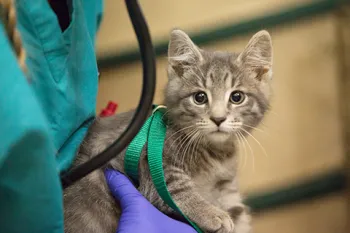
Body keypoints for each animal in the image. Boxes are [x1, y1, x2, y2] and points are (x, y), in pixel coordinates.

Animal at [63, 29, 274, 233]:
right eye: (200, 97)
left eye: (237, 97)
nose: (218, 118)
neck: (214, 153)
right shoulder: (136, 156)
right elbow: (174, 187)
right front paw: (211, 213)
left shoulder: (226, 186)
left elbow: (237, 210)